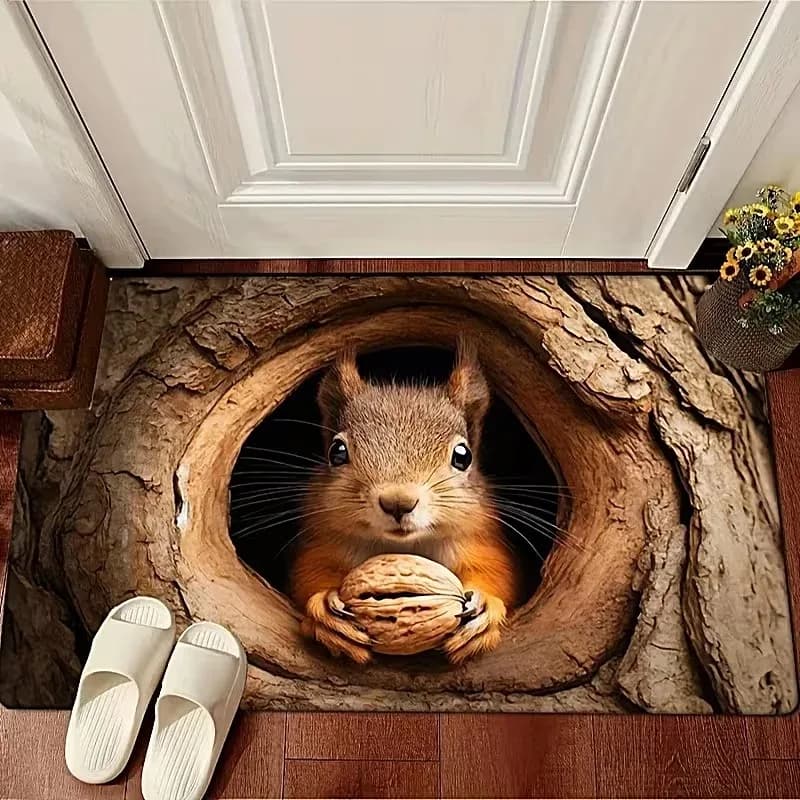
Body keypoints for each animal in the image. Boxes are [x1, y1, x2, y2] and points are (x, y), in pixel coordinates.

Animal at [289, 340, 523, 665]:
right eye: (337, 451)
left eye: (463, 456)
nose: (398, 502)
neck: (405, 546)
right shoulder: (324, 539)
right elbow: (308, 573)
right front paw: (324, 607)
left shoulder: (478, 539)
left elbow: (498, 573)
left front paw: (486, 607)